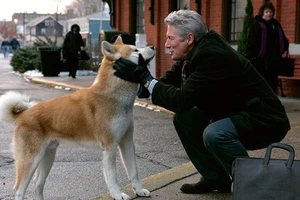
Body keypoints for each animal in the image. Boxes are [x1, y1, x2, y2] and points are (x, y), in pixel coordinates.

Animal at [0, 36, 156, 200]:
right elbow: (112, 176)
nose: (153, 46)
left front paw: (139, 190)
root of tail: (23, 115)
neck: (113, 97)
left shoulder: (127, 142)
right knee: (19, 190)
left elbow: (134, 172)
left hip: (47, 157)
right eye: (135, 50)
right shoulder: (110, 146)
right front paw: (118, 194)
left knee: (38, 184)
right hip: (31, 160)